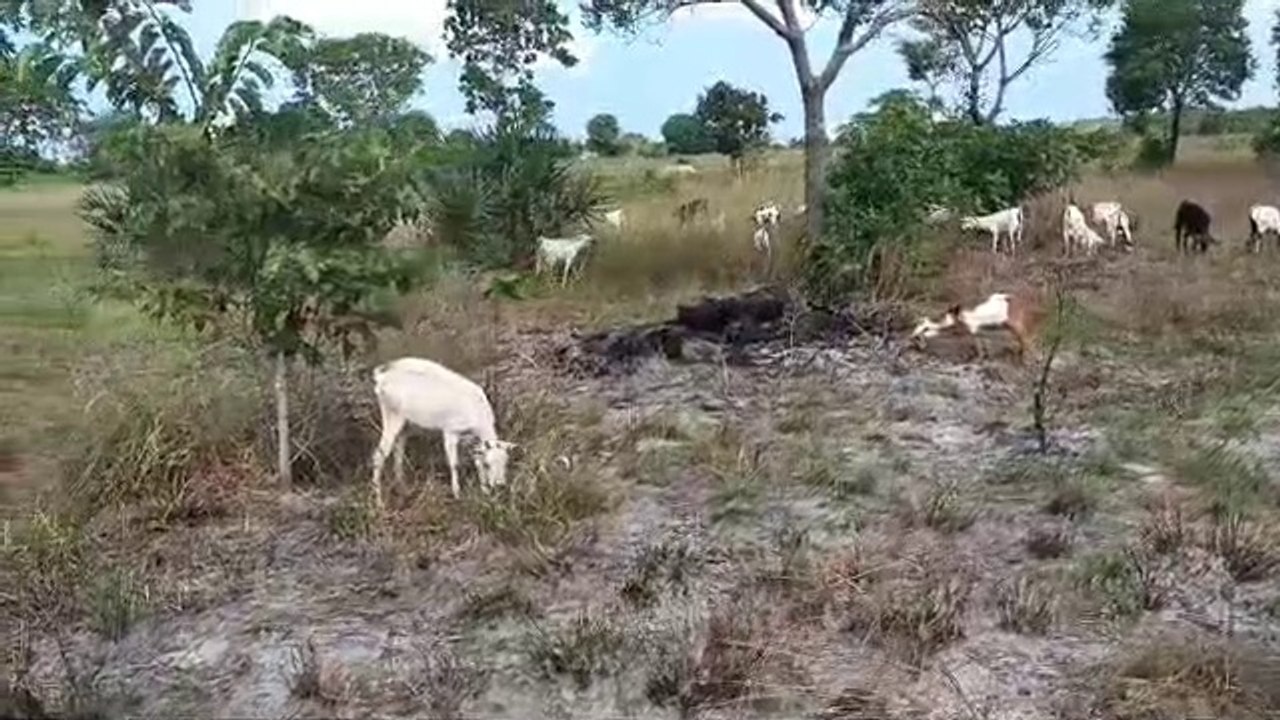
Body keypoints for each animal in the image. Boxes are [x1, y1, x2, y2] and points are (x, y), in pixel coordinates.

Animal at [370, 357, 516, 506]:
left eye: (506, 463)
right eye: (488, 465)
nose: (499, 485)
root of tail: (380, 376)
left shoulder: (472, 439)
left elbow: (476, 461)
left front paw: (484, 491)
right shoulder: (450, 430)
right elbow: (454, 463)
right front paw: (457, 494)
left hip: (405, 423)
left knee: (398, 449)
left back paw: (402, 488)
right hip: (392, 414)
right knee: (379, 454)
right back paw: (379, 501)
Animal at [910, 291, 1043, 364]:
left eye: (917, 337)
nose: (913, 338)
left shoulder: (970, 330)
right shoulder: (978, 332)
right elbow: (984, 349)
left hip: (1017, 325)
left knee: (1028, 340)